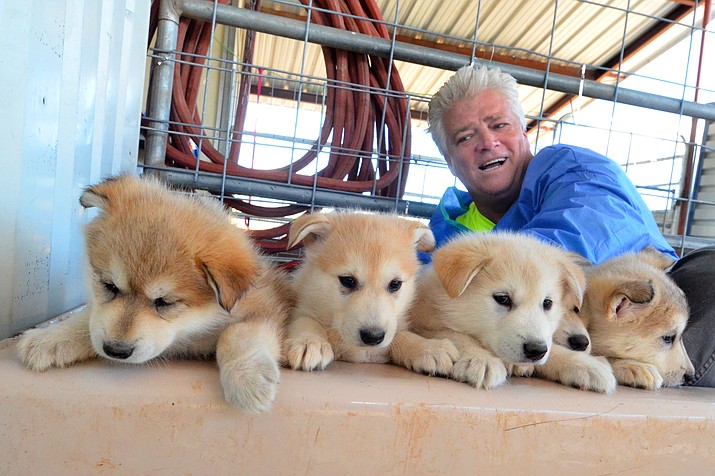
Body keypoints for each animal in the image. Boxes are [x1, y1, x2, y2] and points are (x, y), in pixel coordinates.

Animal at [16, 175, 294, 412]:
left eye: (164, 302)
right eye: (109, 286)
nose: (115, 351)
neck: (194, 329)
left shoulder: (266, 308)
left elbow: (236, 334)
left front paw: (248, 378)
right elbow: (89, 320)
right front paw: (50, 338)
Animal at [282, 212, 456, 376]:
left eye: (395, 284)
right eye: (347, 280)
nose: (373, 337)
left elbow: (402, 335)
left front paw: (429, 347)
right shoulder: (302, 306)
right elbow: (306, 320)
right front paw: (309, 342)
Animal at [408, 231, 604, 390]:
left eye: (547, 303)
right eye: (503, 299)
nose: (536, 350)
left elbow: (552, 349)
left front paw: (585, 365)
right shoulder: (424, 323)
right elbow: (456, 335)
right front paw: (481, 359)